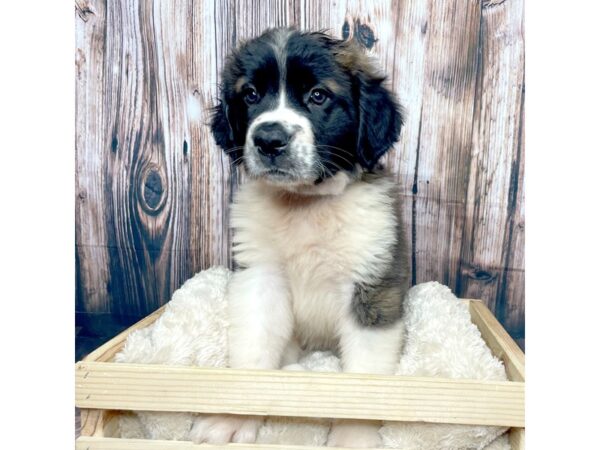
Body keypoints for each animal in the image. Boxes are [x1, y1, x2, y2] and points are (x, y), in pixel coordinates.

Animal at [192, 27, 412, 446]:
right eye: (250, 95)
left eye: (318, 96)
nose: (269, 139)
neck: (307, 205)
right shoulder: (260, 280)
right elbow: (253, 350)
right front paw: (233, 415)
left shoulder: (372, 289)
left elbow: (363, 378)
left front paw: (353, 437)